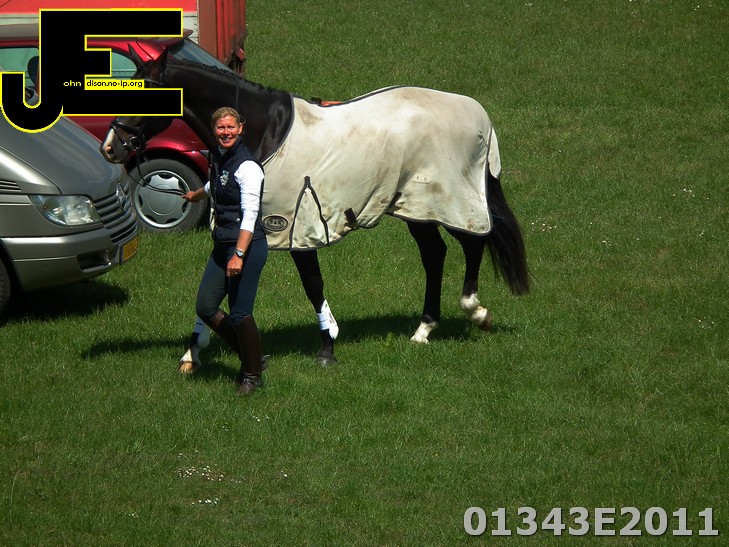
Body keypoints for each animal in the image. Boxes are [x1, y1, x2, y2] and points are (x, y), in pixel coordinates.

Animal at [100, 47, 530, 369]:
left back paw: (475, 311)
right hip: (415, 207)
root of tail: (478, 115)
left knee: (475, 239)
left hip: (447, 199)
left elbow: (312, 285)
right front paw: (193, 352)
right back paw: (424, 329)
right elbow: (216, 289)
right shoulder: (245, 230)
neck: (263, 131)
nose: (111, 147)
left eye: (145, 92)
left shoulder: (294, 224)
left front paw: (327, 347)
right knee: (436, 254)